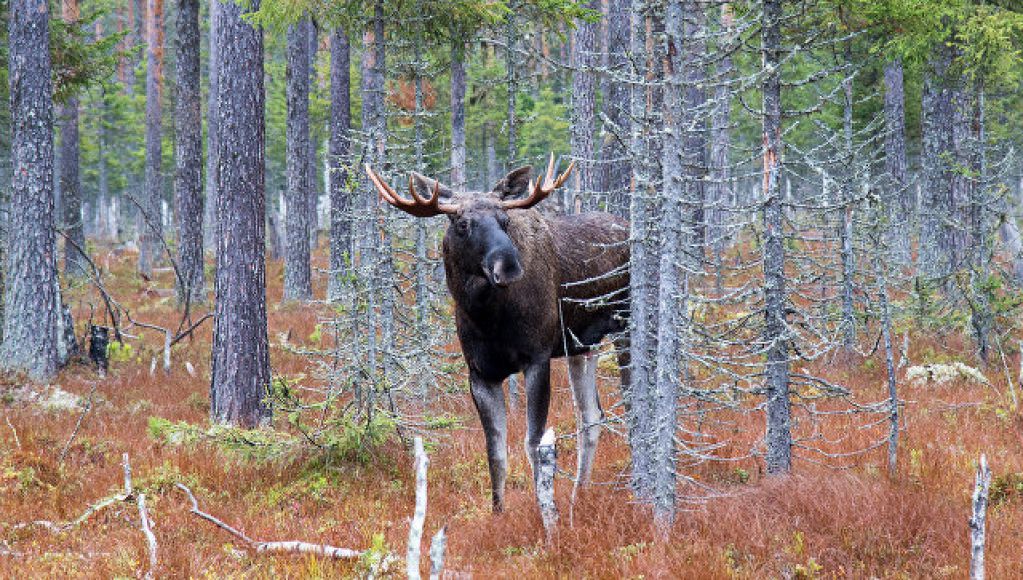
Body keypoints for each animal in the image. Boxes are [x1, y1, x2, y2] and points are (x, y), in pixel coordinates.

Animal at [366, 156, 630, 513]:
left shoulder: (536, 358)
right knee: (591, 415)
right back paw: (580, 495)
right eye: (462, 224)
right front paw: (498, 512)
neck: (487, 319)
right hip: (581, 347)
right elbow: (495, 452)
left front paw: (544, 510)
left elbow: (533, 443)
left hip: (625, 326)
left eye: (505, 220)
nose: (508, 266)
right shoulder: (480, 373)